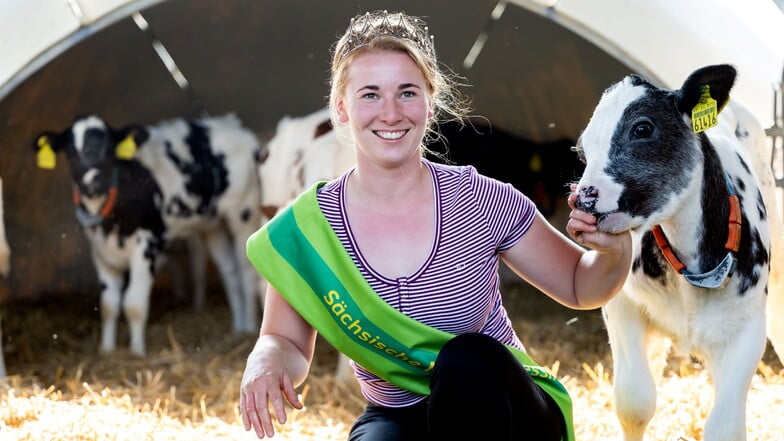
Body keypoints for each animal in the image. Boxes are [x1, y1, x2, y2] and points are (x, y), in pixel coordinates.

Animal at [34, 113, 264, 354]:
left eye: (109, 149)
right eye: (71, 152)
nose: (92, 183)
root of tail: (233, 124)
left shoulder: (147, 246)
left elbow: (133, 303)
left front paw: (136, 351)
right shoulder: (99, 252)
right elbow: (108, 305)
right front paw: (106, 349)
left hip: (244, 212)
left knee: (246, 271)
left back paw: (249, 327)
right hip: (212, 224)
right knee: (229, 272)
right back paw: (237, 328)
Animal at [568, 62, 784, 440]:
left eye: (642, 128)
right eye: (582, 151)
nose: (584, 198)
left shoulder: (745, 330)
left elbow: (724, 427)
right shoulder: (623, 305)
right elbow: (635, 403)